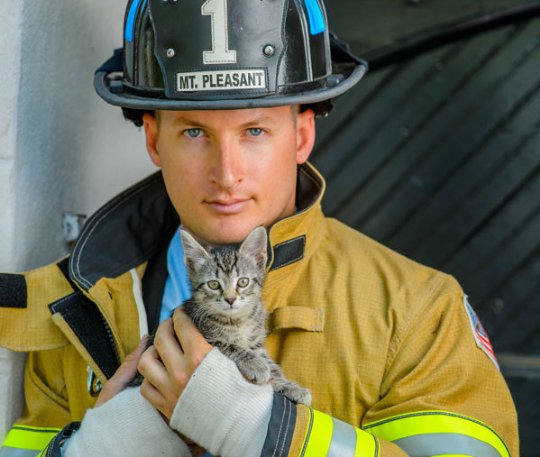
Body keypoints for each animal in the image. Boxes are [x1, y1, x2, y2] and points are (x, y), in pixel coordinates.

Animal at [180, 226, 312, 404]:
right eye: (213, 284)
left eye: (243, 282)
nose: (230, 299)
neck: (238, 320)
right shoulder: (207, 336)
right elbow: (230, 345)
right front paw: (256, 365)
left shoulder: (256, 343)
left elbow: (270, 364)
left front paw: (288, 385)